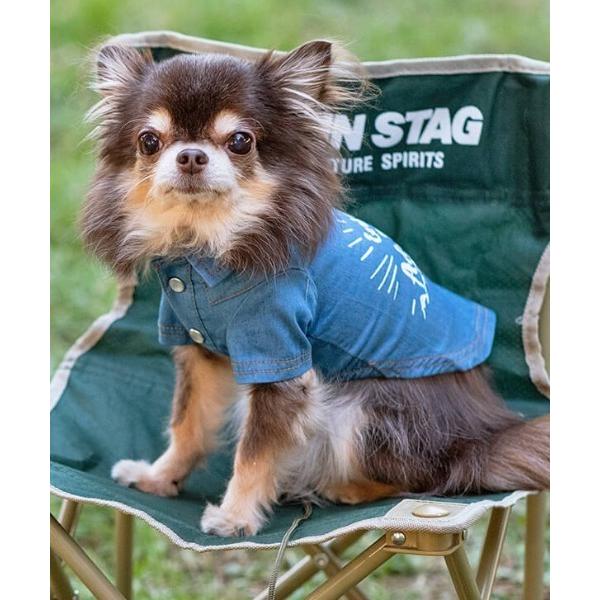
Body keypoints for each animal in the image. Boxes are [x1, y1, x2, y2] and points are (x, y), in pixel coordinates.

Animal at [82, 41, 549, 537]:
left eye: (240, 140)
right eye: (149, 141)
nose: (190, 156)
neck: (208, 243)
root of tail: (483, 439)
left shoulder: (280, 360)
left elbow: (254, 453)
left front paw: (234, 516)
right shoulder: (200, 350)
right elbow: (188, 423)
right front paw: (159, 476)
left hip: (360, 410)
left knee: (430, 477)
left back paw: (343, 488)